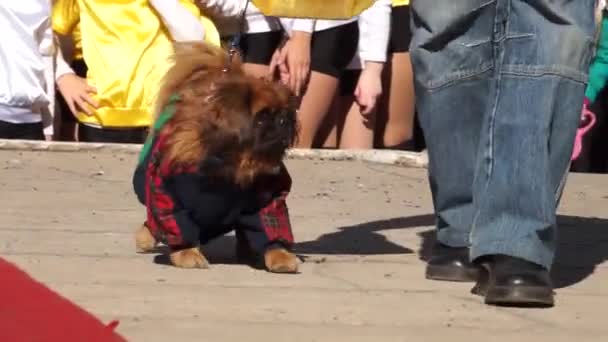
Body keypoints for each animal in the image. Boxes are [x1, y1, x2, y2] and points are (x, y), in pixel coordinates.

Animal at [134, 42, 300, 272]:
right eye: (262, 117)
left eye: (284, 113)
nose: (284, 121)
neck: (232, 164)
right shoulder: (167, 193)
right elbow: (176, 225)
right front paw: (186, 253)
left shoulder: (267, 198)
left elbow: (271, 228)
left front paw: (280, 256)